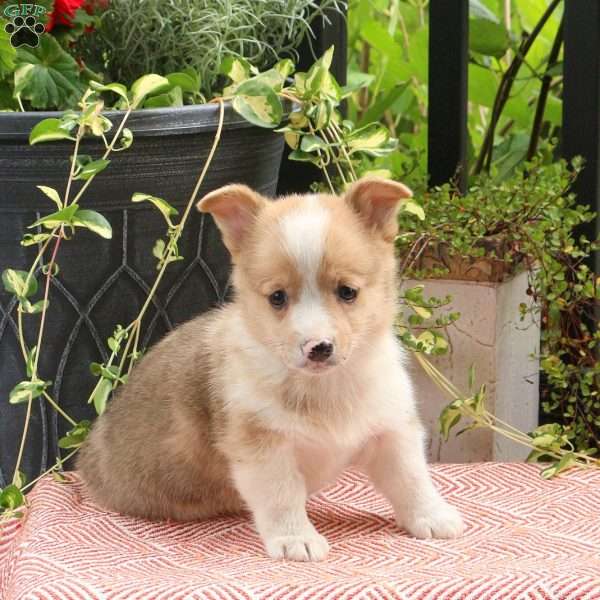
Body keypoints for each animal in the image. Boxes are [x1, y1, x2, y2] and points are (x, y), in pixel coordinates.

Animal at [77, 176, 464, 560]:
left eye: (348, 291)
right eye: (277, 297)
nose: (318, 348)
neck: (325, 388)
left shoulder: (392, 431)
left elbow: (412, 479)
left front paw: (433, 517)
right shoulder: (263, 448)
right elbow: (282, 496)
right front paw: (296, 539)